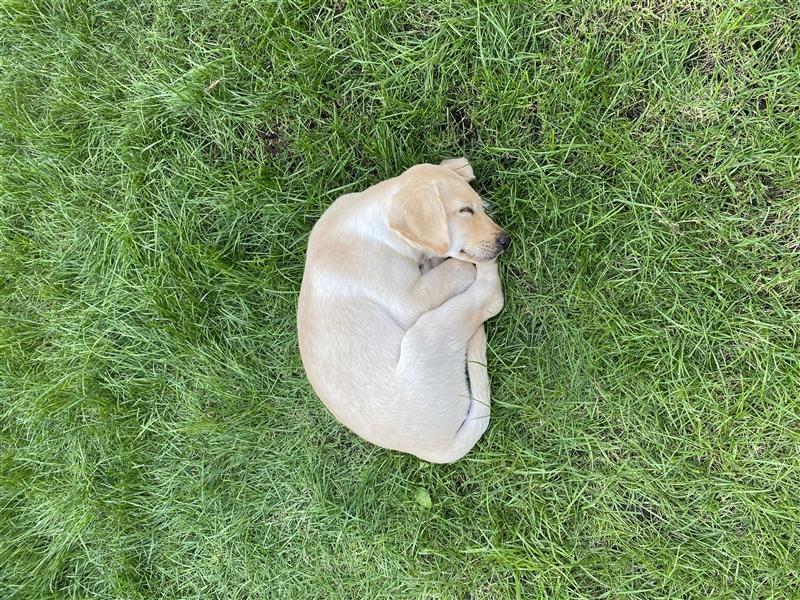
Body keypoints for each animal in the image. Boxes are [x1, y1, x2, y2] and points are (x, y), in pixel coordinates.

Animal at [300, 157, 506, 462]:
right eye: (465, 211)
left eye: (478, 207)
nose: (505, 240)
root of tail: (438, 449)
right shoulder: (409, 300)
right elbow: (456, 269)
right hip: (426, 335)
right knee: (490, 298)